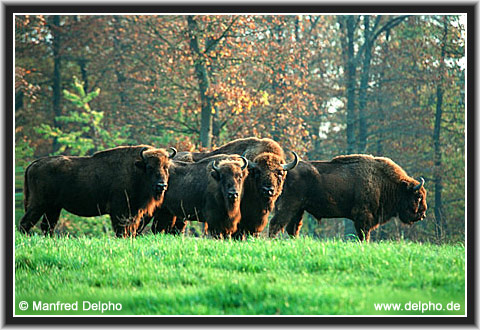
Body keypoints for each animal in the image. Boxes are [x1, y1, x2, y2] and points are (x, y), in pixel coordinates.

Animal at [18, 145, 177, 237]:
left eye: (166, 167)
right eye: (150, 167)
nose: (161, 185)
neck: (137, 170)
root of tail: (33, 164)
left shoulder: (134, 213)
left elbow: (130, 230)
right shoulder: (119, 211)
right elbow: (121, 230)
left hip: (53, 208)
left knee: (47, 226)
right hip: (39, 204)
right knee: (26, 223)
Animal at [268, 155, 430, 242]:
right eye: (418, 196)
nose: (422, 215)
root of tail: (284, 170)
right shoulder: (363, 217)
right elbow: (364, 234)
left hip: (299, 210)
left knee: (292, 228)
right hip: (290, 205)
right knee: (276, 223)